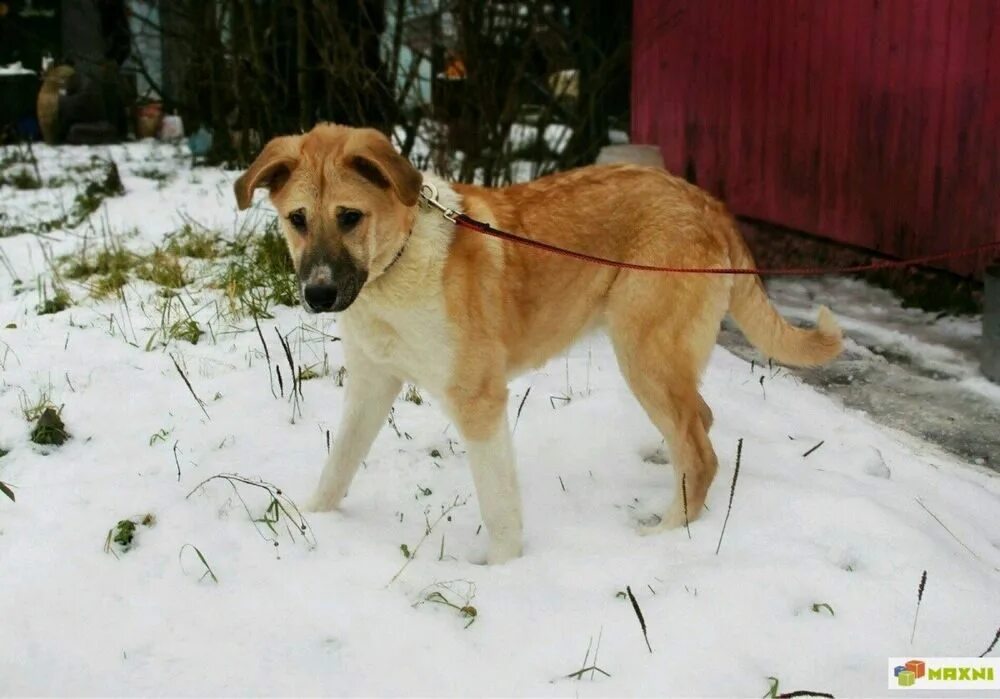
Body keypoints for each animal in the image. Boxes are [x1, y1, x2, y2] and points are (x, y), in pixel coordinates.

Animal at [236, 124, 844, 564]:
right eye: (297, 219)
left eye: (350, 217)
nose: (318, 295)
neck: (397, 266)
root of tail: (707, 202)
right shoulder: (370, 385)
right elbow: (337, 467)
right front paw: (315, 520)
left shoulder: (479, 402)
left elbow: (500, 506)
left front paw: (502, 572)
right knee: (700, 422)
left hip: (643, 352)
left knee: (703, 452)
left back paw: (665, 534)